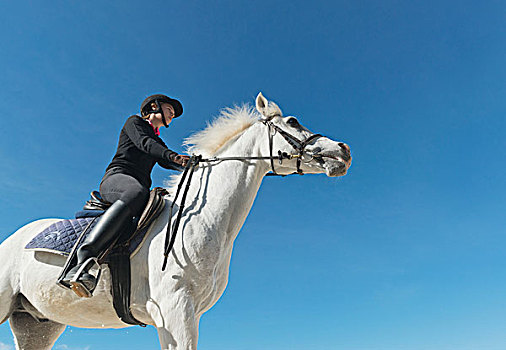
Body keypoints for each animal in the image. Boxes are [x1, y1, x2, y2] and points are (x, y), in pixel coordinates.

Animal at [0, 91, 350, 348]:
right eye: (293, 121)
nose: (342, 151)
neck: (202, 221)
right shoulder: (175, 311)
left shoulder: (185, 316)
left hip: (37, 326)